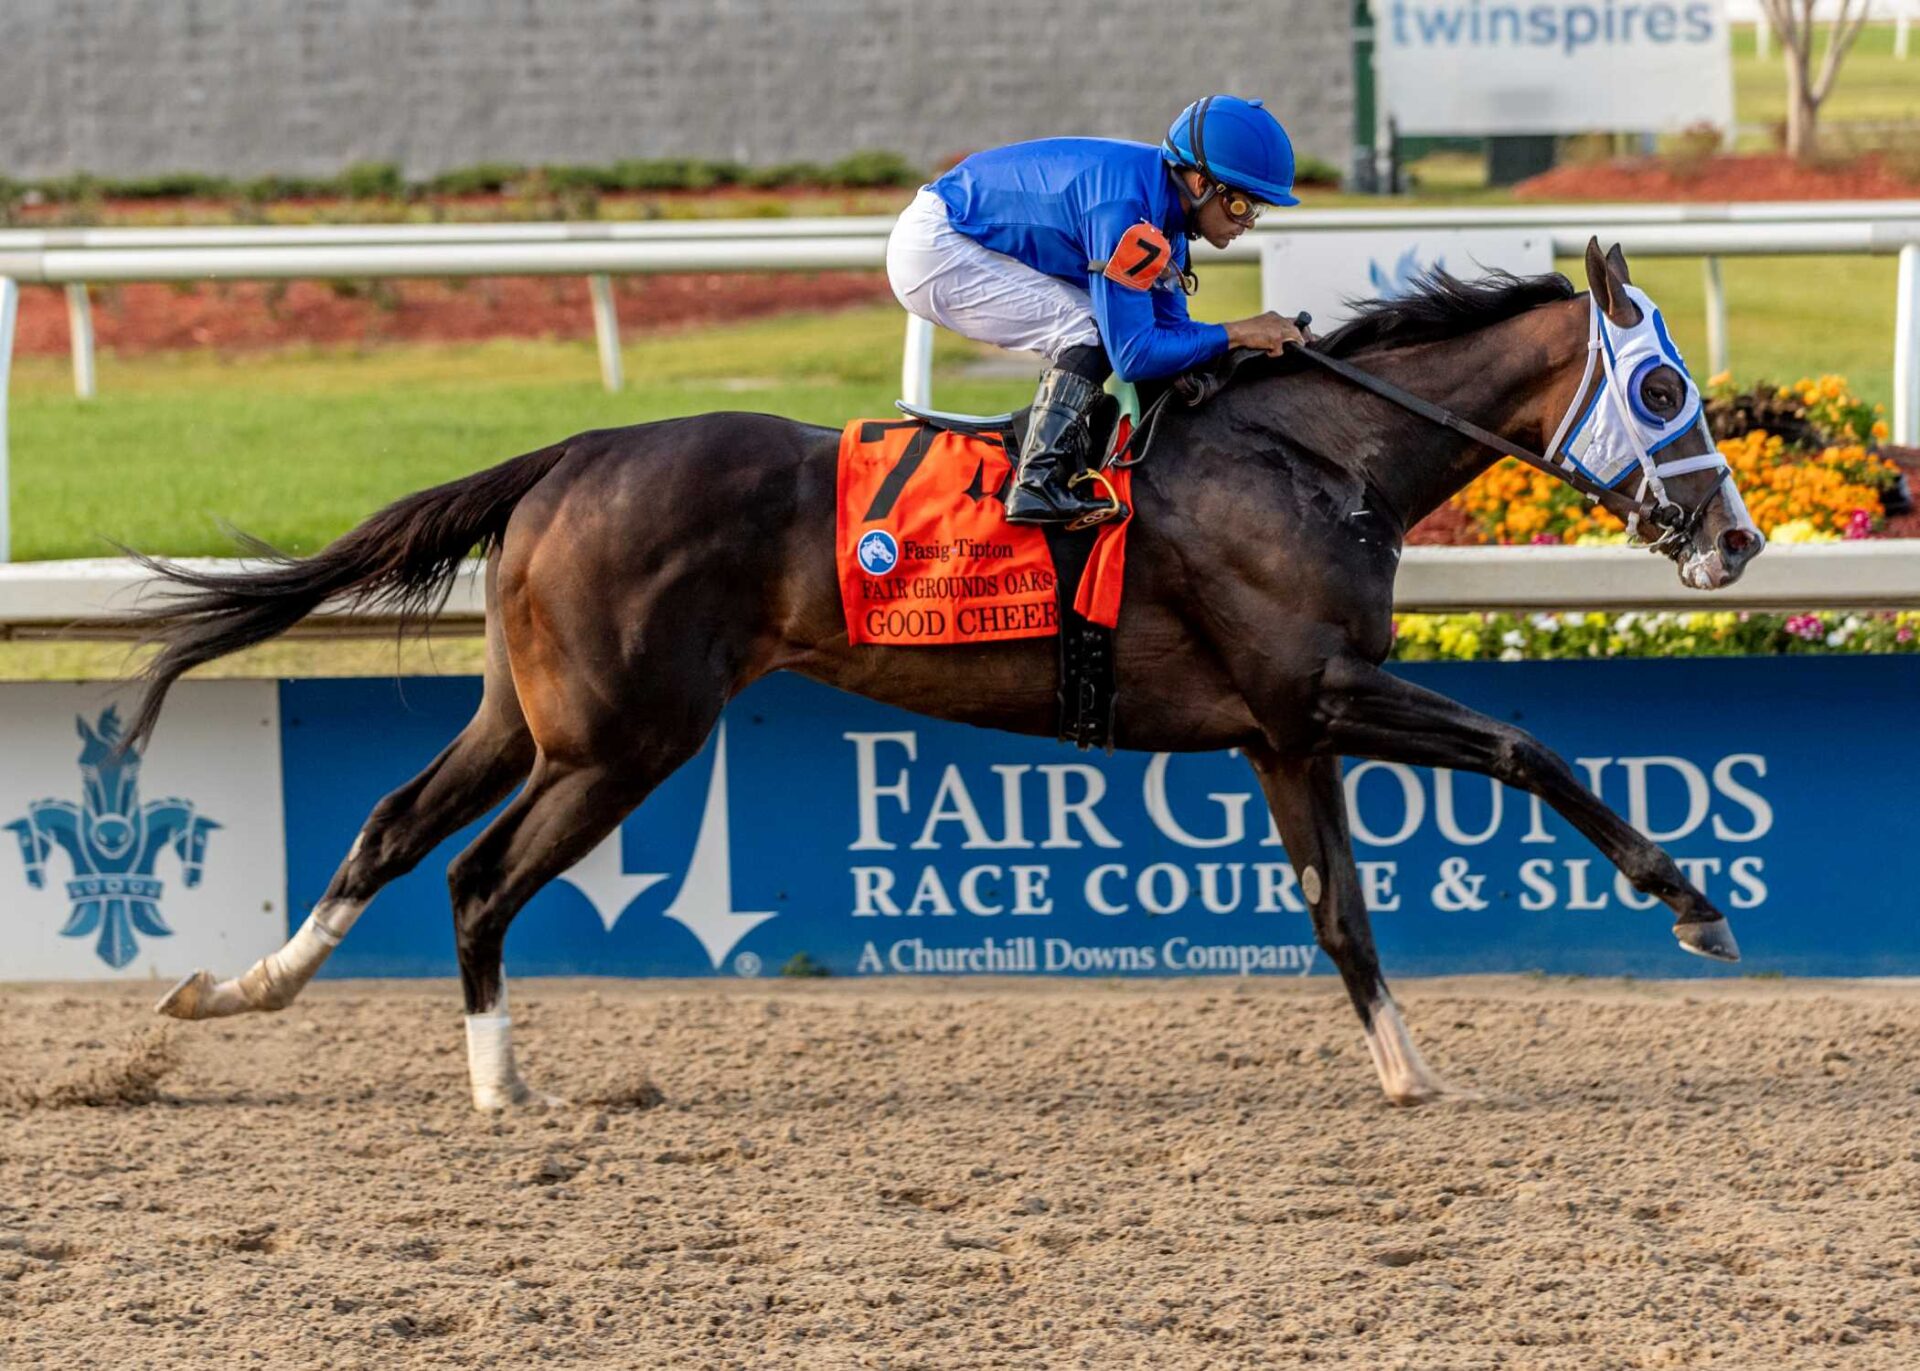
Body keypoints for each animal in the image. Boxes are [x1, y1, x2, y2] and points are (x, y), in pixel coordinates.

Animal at [128, 240, 1764, 1109]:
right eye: (1662, 387)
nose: (1738, 538)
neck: (1314, 456)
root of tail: (570, 453)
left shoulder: (1283, 735)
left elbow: (1340, 913)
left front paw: (1410, 1071)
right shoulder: (1318, 697)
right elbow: (1531, 750)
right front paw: (1691, 904)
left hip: (533, 713)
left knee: (394, 827)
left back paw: (240, 992)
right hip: (625, 739)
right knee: (476, 877)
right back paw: (497, 1085)